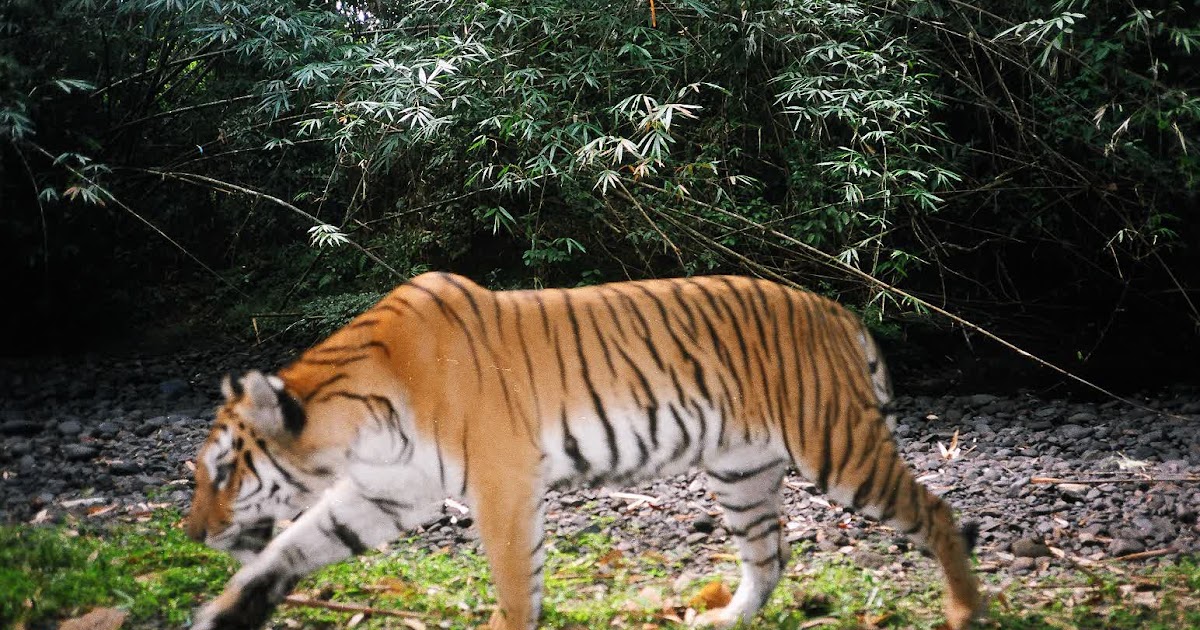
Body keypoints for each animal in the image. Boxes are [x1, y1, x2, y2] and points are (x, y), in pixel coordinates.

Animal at [186, 271, 981, 630]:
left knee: (938, 513)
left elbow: (516, 588)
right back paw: (725, 620)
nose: (191, 533)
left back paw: (964, 610)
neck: (358, 420)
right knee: (769, 553)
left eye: (224, 472)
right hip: (743, 470)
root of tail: (836, 308)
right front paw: (223, 612)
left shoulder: (504, 487)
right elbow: (291, 546)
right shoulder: (388, 489)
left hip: (837, 449)